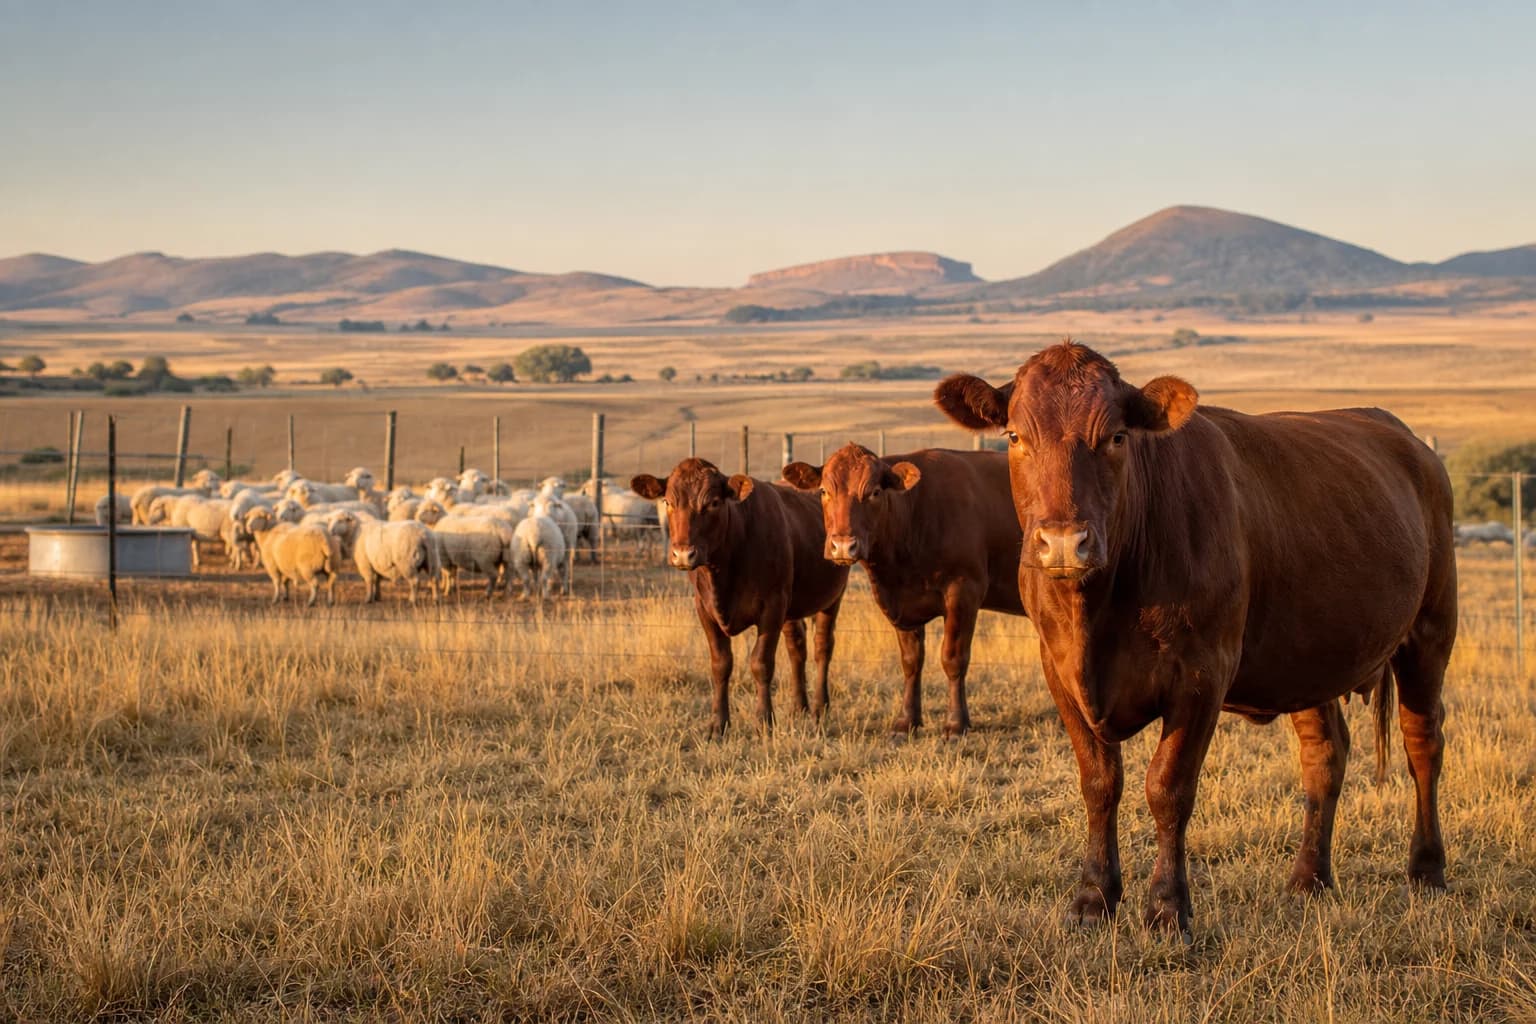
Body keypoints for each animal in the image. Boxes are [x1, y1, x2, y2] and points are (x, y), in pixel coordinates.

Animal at [631, 458, 849, 736]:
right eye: (668, 502)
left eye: (713, 502)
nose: (683, 554)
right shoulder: (705, 609)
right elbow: (721, 664)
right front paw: (718, 724)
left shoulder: (772, 607)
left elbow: (761, 663)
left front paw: (764, 721)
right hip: (792, 606)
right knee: (796, 648)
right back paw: (799, 707)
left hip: (832, 596)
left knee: (823, 646)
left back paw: (820, 708)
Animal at [782, 444, 1024, 736]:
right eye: (823, 491)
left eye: (874, 492)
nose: (843, 546)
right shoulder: (900, 602)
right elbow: (911, 661)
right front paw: (906, 721)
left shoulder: (964, 592)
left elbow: (953, 658)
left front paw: (956, 724)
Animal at [934, 341, 1455, 939]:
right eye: (1016, 436)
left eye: (1117, 436)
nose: (1065, 542)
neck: (1100, 610)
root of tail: (1408, 440)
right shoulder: (1060, 673)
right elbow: (1099, 783)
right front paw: (1093, 898)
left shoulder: (1203, 674)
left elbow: (1168, 787)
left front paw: (1166, 907)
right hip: (1308, 657)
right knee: (1325, 755)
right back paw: (1309, 878)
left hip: (1430, 630)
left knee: (1423, 743)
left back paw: (1426, 869)